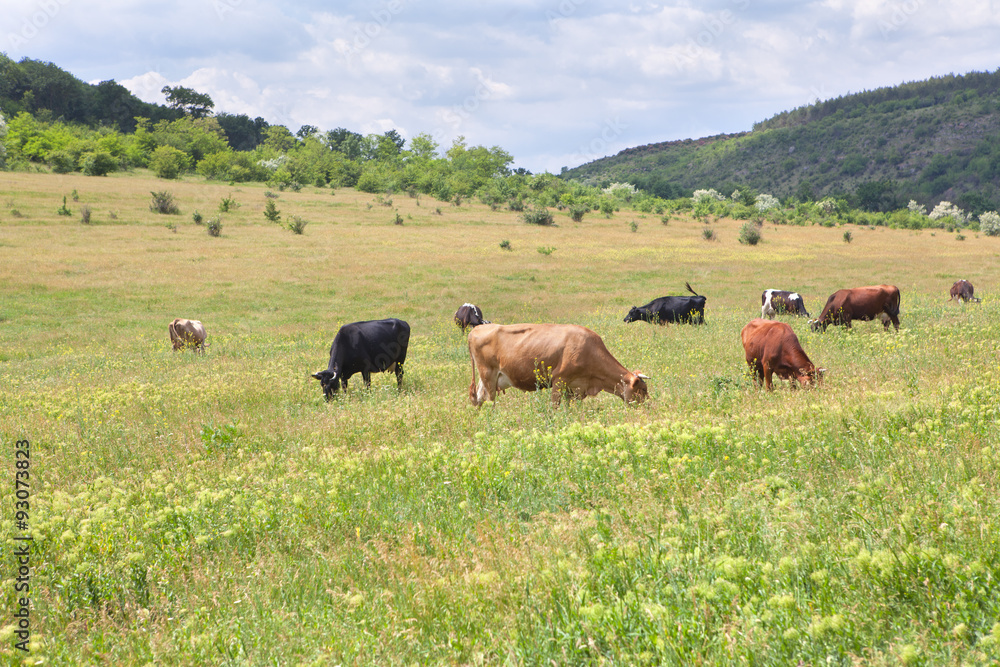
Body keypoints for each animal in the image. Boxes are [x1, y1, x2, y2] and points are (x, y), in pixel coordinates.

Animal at [468, 324, 648, 408]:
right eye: (643, 389)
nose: (648, 407)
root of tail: (477, 328)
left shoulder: (576, 388)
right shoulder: (559, 380)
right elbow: (554, 406)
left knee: (478, 398)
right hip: (488, 375)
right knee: (488, 400)